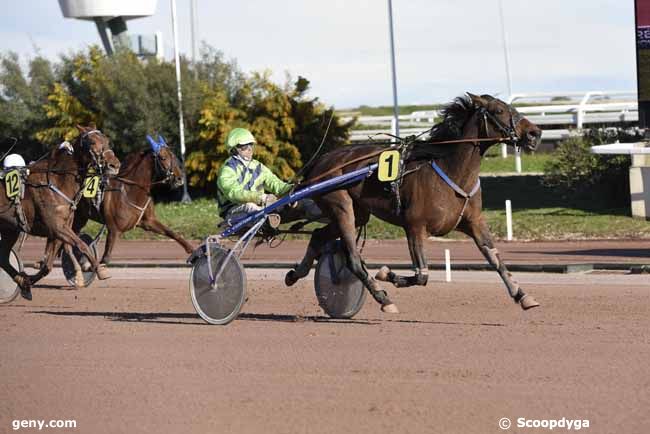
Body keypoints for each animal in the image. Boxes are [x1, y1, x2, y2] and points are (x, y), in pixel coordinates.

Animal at [0, 122, 120, 298]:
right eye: (91, 142)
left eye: (107, 140)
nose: (114, 165)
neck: (57, 181)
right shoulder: (57, 226)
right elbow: (81, 245)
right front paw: (98, 269)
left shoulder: (58, 230)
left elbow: (47, 266)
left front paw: (26, 282)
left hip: (10, 229)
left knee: (3, 256)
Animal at [71, 136, 194, 278]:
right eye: (163, 157)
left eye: (173, 156)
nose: (179, 179)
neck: (131, 190)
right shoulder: (113, 229)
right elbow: (105, 259)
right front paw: (90, 266)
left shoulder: (148, 221)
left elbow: (171, 232)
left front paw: (192, 249)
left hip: (81, 218)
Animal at [286, 94, 544, 312]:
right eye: (499, 110)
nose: (535, 133)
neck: (451, 168)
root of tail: (321, 160)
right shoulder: (415, 226)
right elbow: (422, 275)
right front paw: (386, 274)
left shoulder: (474, 223)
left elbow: (495, 259)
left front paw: (522, 295)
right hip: (341, 207)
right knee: (353, 259)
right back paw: (383, 298)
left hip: (358, 212)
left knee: (318, 235)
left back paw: (295, 274)